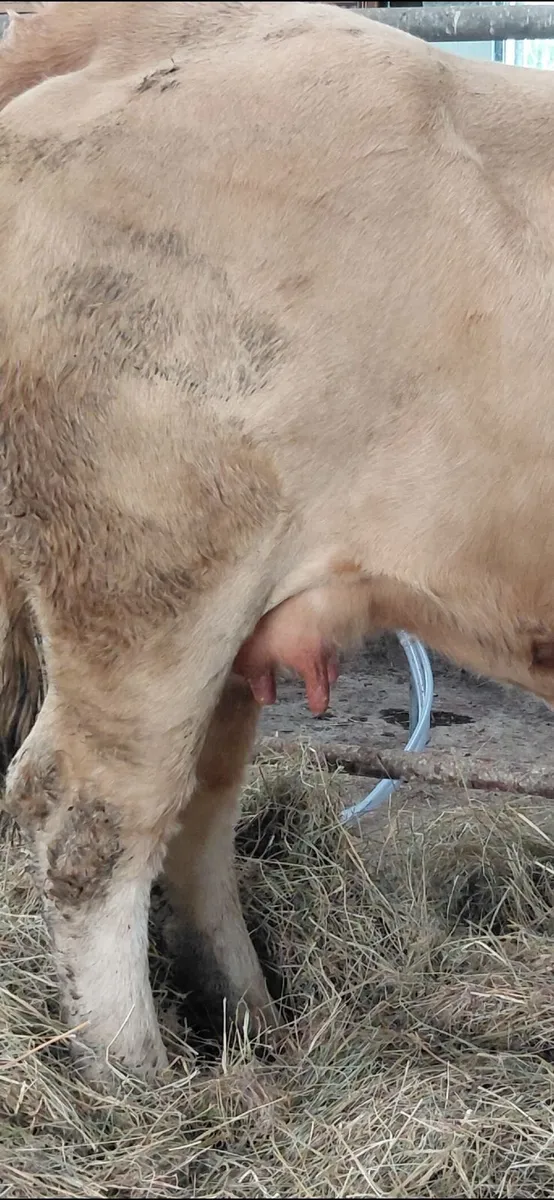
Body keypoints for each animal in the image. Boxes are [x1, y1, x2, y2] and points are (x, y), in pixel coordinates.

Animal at [2, 0, 554, 1079]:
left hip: (230, 611)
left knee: (198, 809)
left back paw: (252, 1026)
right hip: (151, 573)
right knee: (90, 819)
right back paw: (140, 1081)